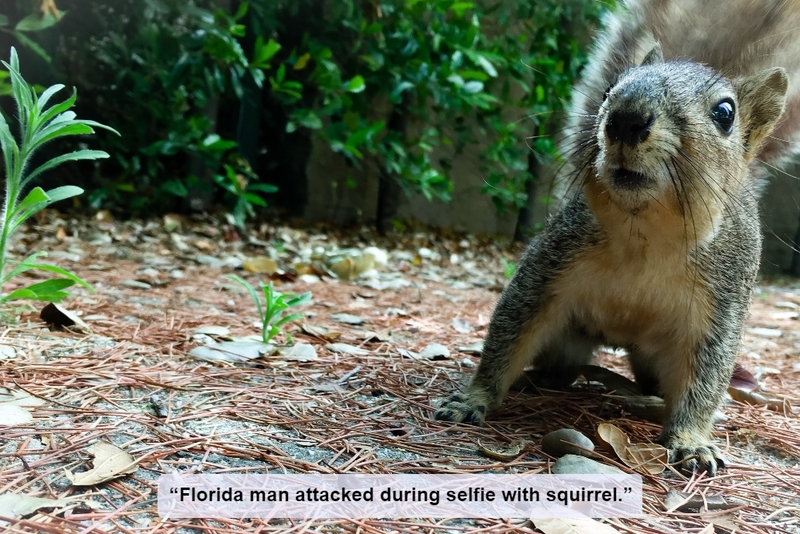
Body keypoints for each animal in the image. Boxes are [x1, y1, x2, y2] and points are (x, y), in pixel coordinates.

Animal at [438, 0, 800, 478]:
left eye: (725, 113)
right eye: (611, 88)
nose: (625, 117)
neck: (646, 233)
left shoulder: (721, 306)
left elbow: (705, 379)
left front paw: (692, 441)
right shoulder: (550, 266)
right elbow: (509, 332)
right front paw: (474, 397)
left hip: (657, 360)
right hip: (565, 340)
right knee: (562, 368)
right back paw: (540, 380)